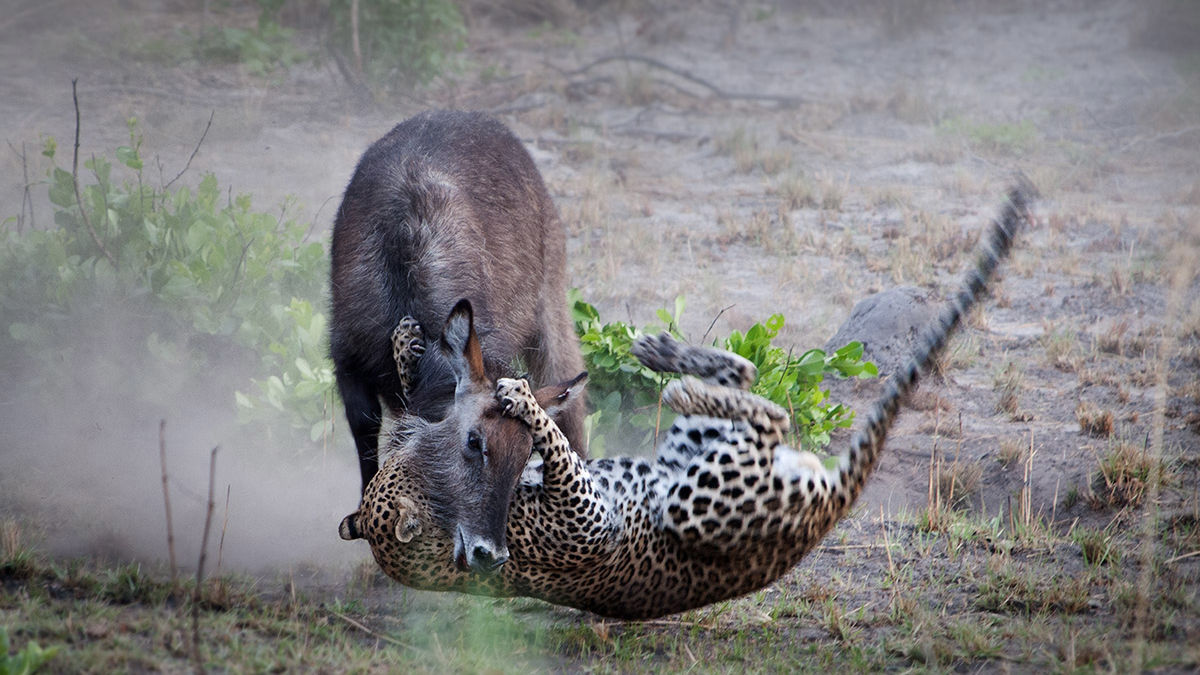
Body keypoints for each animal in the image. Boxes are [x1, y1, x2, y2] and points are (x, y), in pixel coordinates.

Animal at [343, 177, 1036, 614]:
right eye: (473, 450)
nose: (490, 556)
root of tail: (826, 508)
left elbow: (450, 391)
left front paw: (419, 344)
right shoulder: (582, 513)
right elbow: (550, 437)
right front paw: (516, 394)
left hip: (693, 452)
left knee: (750, 382)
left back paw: (661, 354)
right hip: (703, 488)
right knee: (768, 409)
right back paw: (672, 374)